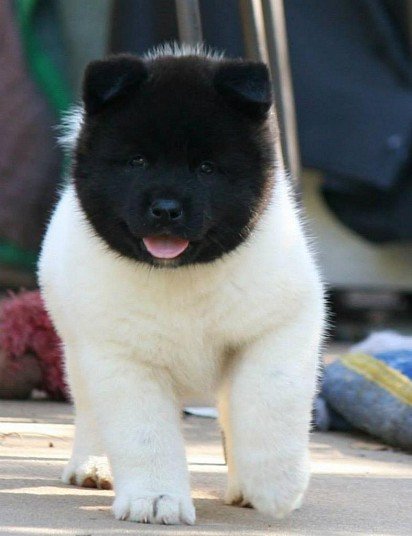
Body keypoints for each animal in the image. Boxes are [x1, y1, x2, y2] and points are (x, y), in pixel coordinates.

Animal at [38, 45, 326, 524]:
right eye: (137, 162)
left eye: (206, 168)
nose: (166, 209)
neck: (180, 277)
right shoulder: (122, 356)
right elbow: (143, 432)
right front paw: (156, 499)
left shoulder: (280, 327)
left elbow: (272, 397)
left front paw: (276, 484)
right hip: (77, 349)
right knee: (90, 410)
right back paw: (93, 466)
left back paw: (242, 486)